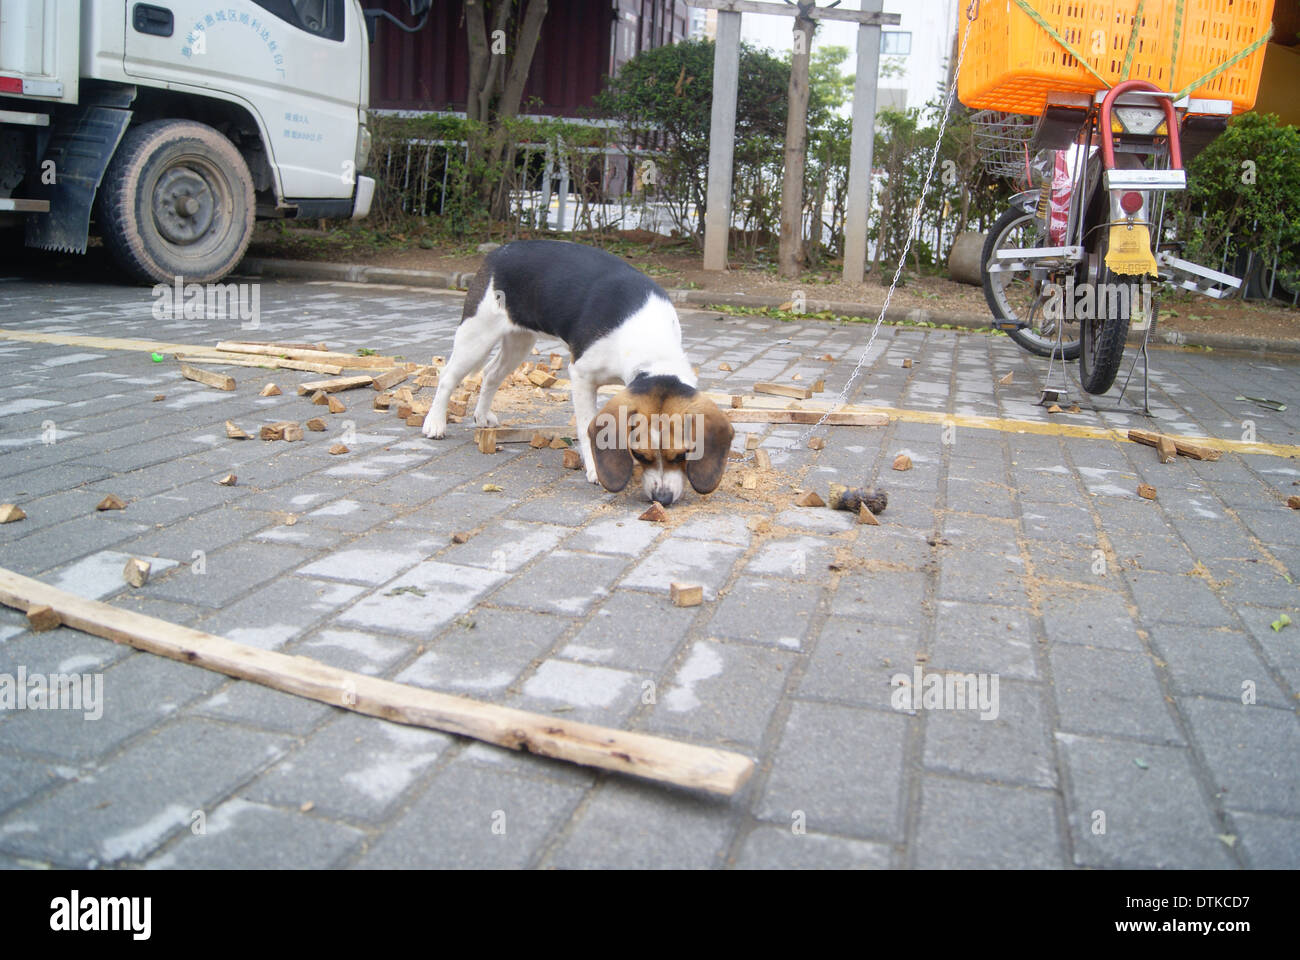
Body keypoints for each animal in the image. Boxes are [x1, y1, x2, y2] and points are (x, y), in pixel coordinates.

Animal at [423, 239, 733, 504]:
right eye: (640, 455)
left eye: (682, 455)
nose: (662, 499)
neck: (652, 347)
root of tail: (500, 251)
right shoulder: (581, 376)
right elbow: (587, 426)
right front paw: (595, 469)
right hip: (476, 336)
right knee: (448, 377)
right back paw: (435, 423)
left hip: (519, 342)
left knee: (490, 374)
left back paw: (482, 415)